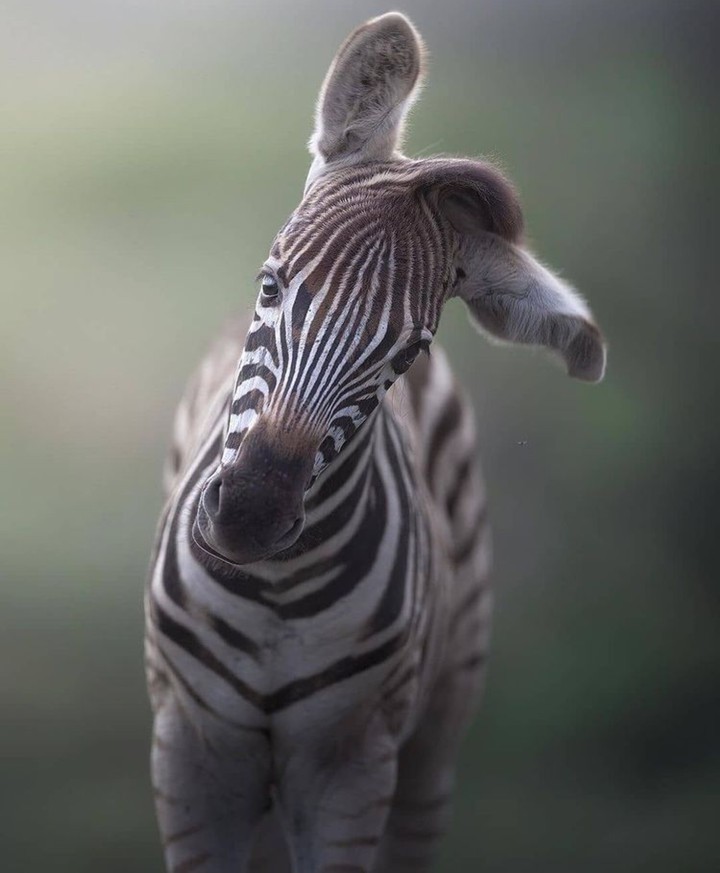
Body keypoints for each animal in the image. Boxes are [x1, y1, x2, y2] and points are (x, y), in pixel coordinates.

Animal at [145, 12, 606, 873]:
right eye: (270, 285)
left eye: (408, 352)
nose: (250, 517)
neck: (275, 588)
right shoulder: (192, 748)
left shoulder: (351, 761)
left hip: (432, 743)